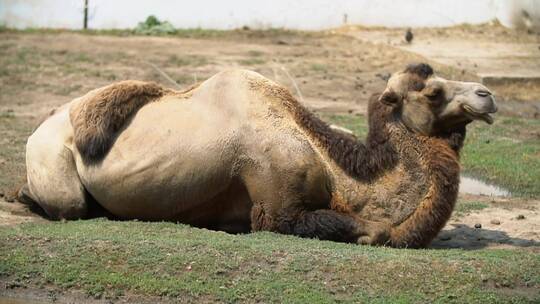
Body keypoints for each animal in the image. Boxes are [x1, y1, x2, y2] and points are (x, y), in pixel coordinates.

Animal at [20, 63, 498, 247]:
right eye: (432, 91)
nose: (487, 93)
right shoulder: (278, 205)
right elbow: (374, 230)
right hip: (52, 161)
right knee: (68, 205)